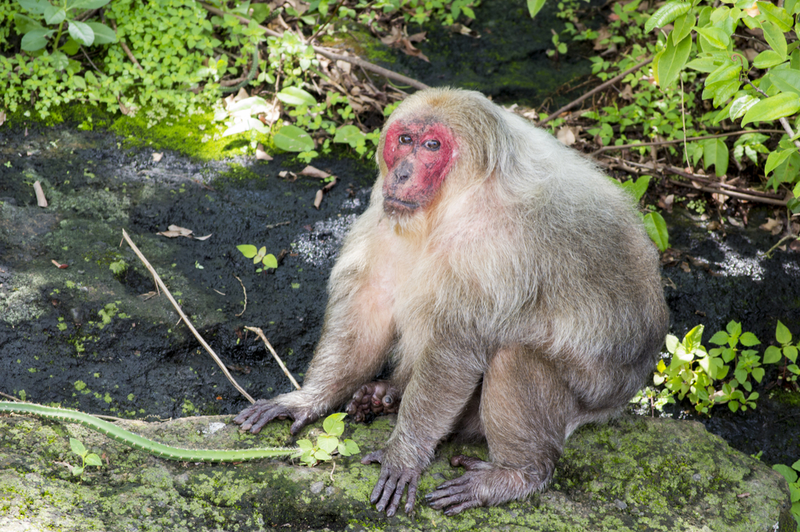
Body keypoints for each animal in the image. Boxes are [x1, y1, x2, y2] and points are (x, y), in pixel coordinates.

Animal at [233, 87, 668, 516]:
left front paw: (404, 454)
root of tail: (633, 383)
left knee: (514, 358)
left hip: (589, 400)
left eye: (432, 146)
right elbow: (370, 303)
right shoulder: (390, 213)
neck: (460, 198)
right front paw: (307, 399)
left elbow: (454, 350)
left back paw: (518, 474)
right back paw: (388, 394)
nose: (402, 173)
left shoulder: (491, 250)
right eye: (404, 140)